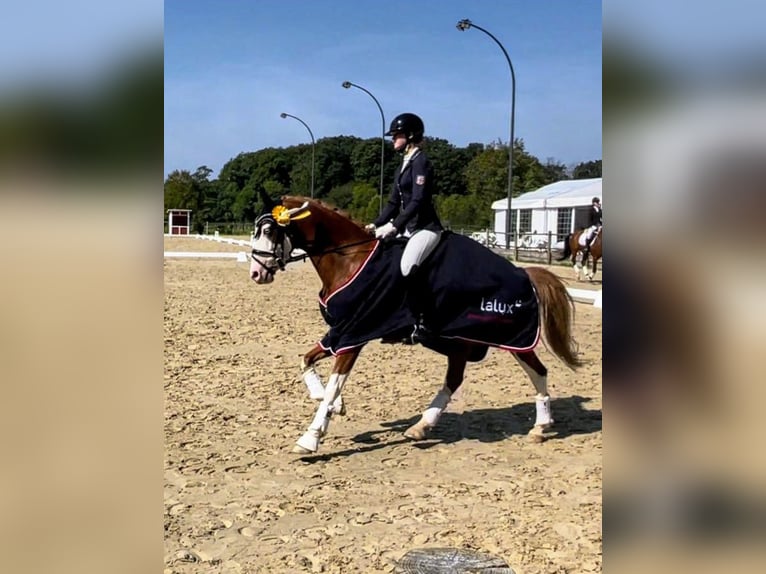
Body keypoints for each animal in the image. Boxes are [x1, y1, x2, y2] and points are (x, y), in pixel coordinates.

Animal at [250, 196, 584, 456]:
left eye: (269, 230)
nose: (256, 273)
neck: (348, 258)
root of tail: (523, 273)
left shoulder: (354, 332)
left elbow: (334, 383)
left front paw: (311, 437)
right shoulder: (341, 332)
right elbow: (307, 362)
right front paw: (331, 403)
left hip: (511, 336)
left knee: (538, 371)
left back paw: (540, 426)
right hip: (464, 342)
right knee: (457, 379)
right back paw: (423, 426)